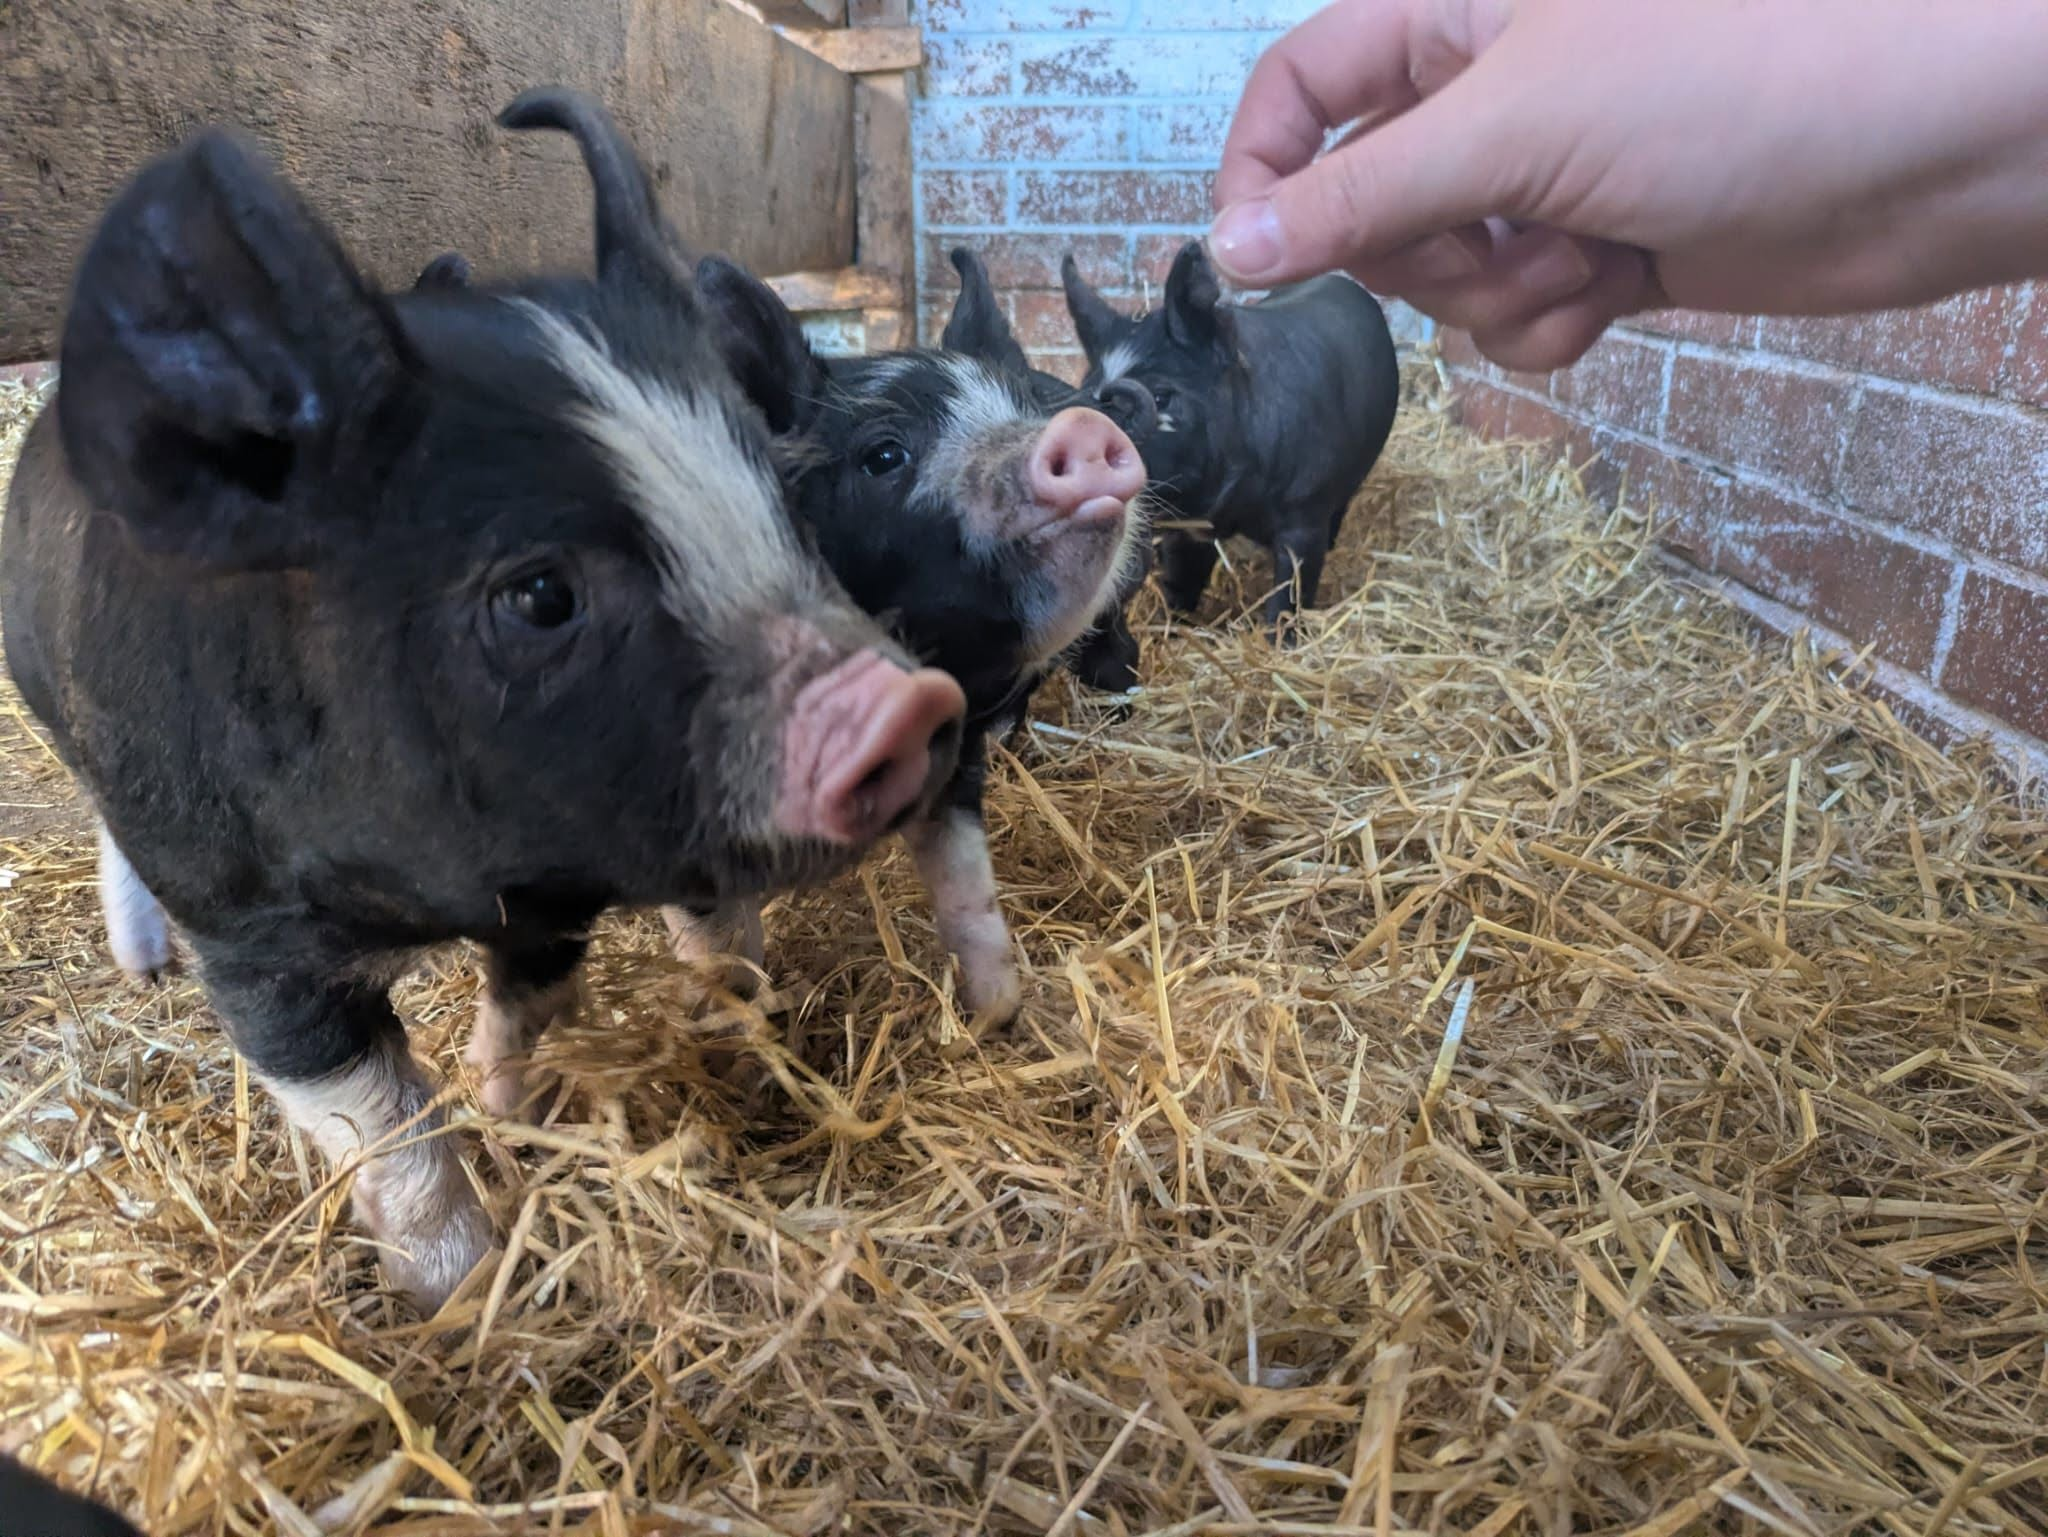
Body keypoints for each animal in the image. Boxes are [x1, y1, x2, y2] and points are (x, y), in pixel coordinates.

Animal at [0, 92, 966, 1310]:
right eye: (539, 593)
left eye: (779, 499)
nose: (911, 703)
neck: (429, 889)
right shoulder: (249, 931)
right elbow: (380, 1124)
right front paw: (458, 1300)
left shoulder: (558, 877)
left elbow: (534, 1001)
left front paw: (517, 1108)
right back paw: (141, 962)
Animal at [1061, 240, 1401, 637]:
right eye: (1088, 386)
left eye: (1161, 397)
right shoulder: (1189, 529)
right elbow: (1182, 579)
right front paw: (1174, 625)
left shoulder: (1305, 515)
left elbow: (1291, 593)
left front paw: (1280, 642)